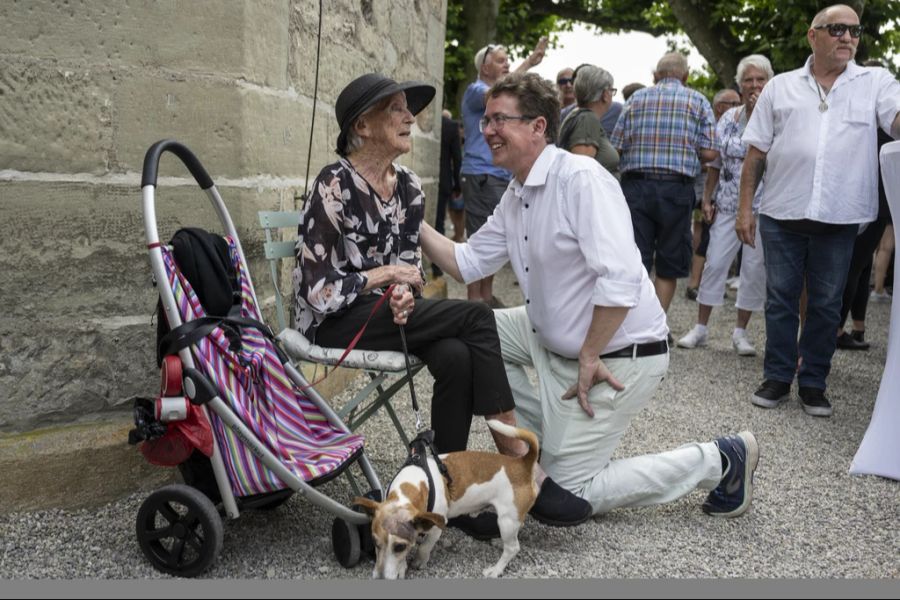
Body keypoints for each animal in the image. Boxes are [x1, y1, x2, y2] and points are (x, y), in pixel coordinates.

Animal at [352, 420, 536, 580]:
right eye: (375, 542)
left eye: (400, 547)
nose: (379, 578)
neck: (413, 484)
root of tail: (522, 464)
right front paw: (402, 567)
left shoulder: (436, 527)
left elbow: (424, 547)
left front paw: (418, 562)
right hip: (510, 520)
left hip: (506, 520)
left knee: (513, 548)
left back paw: (495, 570)